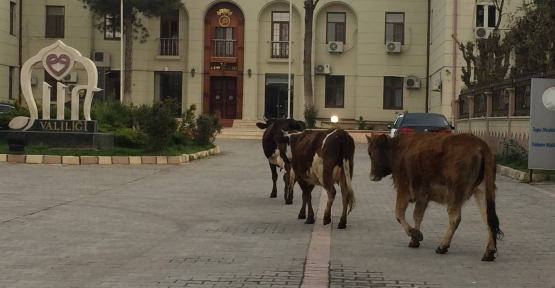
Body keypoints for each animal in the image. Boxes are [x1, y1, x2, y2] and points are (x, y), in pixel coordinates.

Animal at [368, 133, 506, 260]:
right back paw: (489, 252)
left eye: (371, 154)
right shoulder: (422, 196)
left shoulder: (404, 189)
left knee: (455, 218)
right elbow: (417, 216)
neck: (397, 149)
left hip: (455, 192)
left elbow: (398, 214)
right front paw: (414, 240)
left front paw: (415, 234)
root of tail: (480, 145)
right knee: (489, 218)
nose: (372, 176)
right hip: (482, 191)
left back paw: (442, 246)